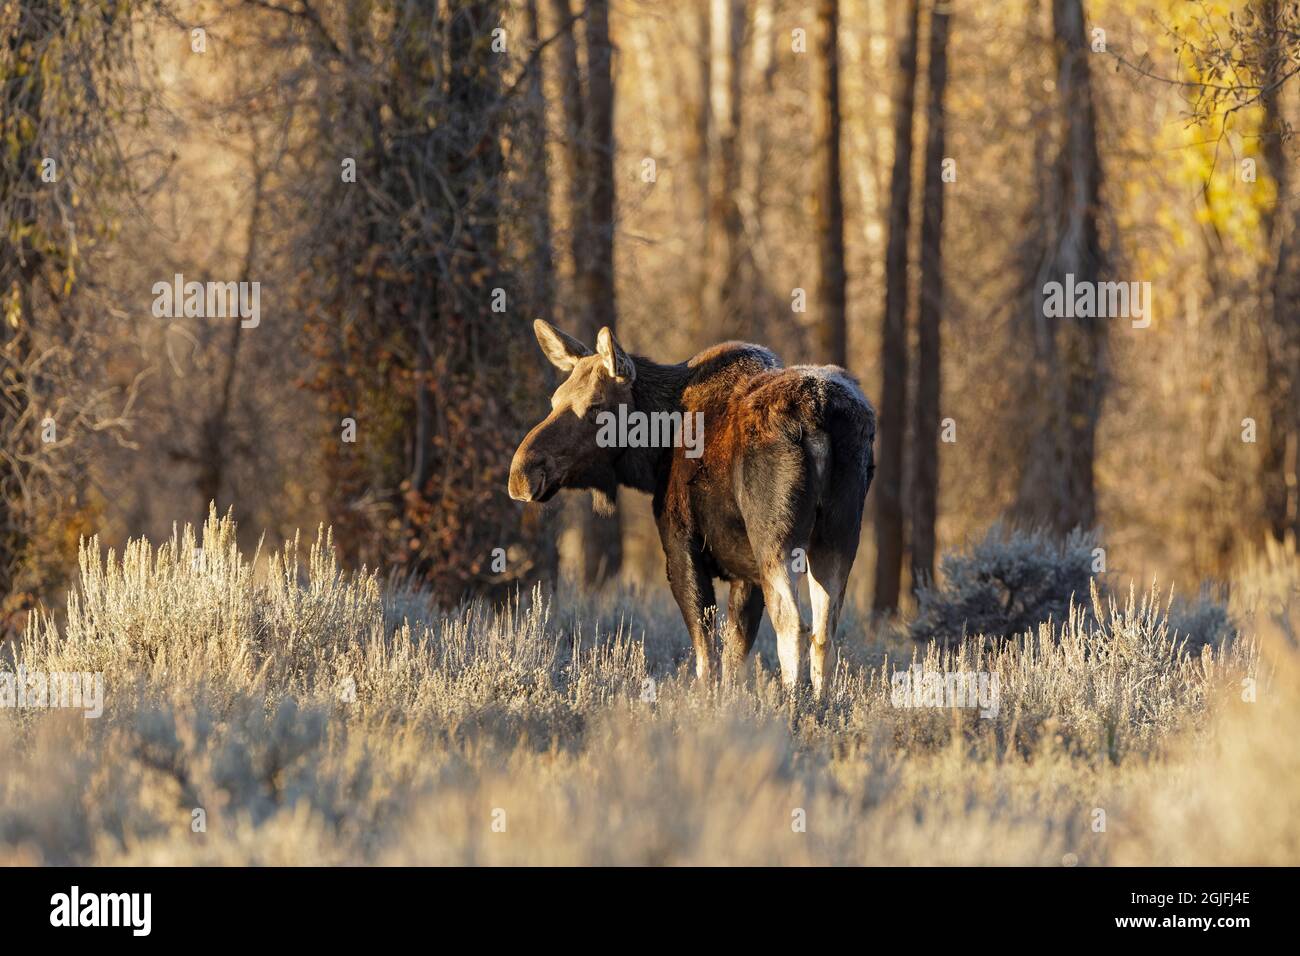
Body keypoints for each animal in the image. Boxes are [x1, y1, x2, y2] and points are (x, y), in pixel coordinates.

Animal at [506, 317, 873, 697]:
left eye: (594, 404)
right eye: (555, 399)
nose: (522, 473)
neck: (654, 452)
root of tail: (820, 416)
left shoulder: (682, 543)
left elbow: (705, 653)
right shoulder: (746, 573)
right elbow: (735, 655)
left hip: (776, 539)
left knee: (793, 624)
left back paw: (792, 701)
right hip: (838, 536)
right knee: (825, 631)